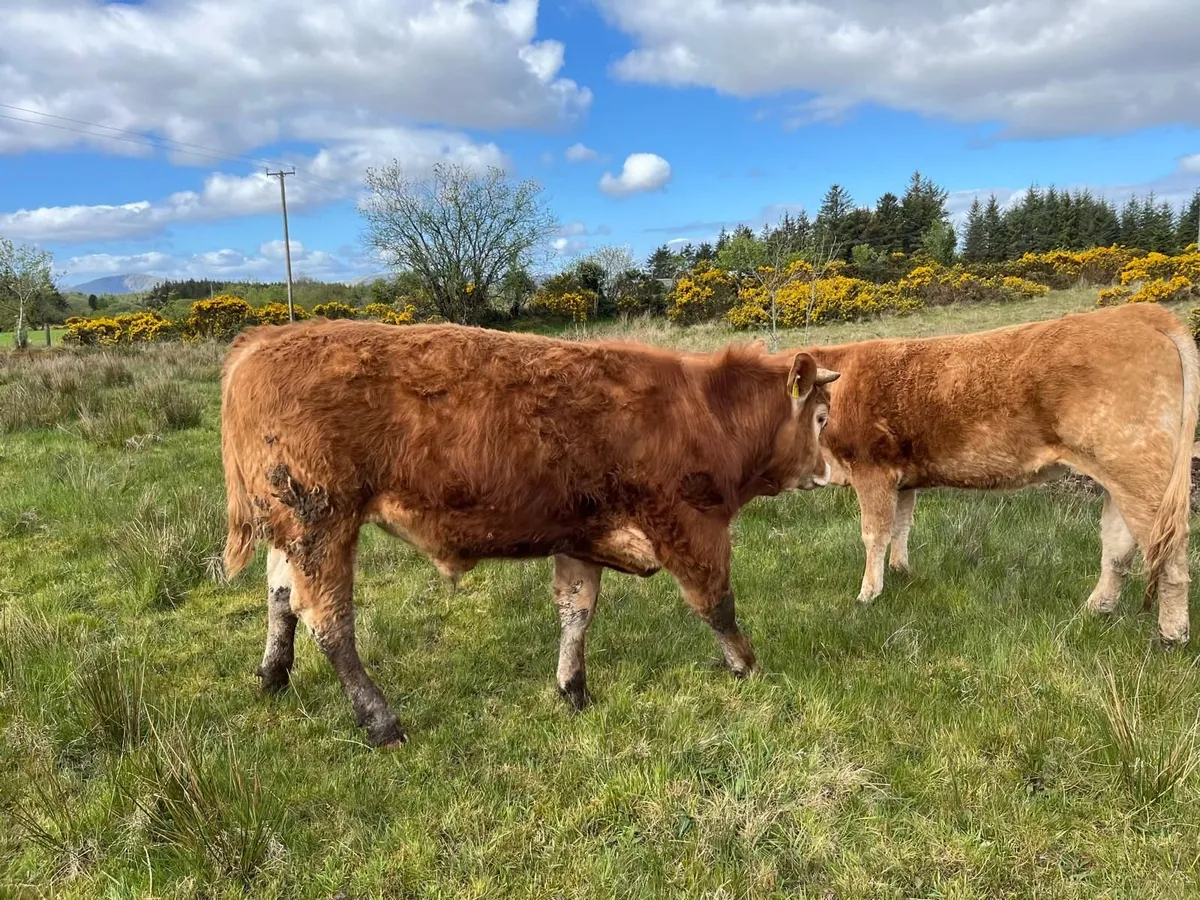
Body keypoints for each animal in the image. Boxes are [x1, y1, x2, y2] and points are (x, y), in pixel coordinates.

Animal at [220, 319, 839, 747]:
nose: (828, 472)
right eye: (821, 418)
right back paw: (380, 720)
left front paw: (574, 688)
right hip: (323, 523)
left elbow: (577, 612)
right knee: (328, 622)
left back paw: (272, 676)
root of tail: (262, 340)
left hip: (293, 530)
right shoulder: (690, 529)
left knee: (279, 597)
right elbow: (718, 605)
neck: (704, 413)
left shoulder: (581, 536)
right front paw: (745, 664)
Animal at [796, 303, 1199, 645]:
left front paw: (868, 594)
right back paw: (1094, 611)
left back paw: (1171, 636)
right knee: (1118, 550)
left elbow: (874, 533)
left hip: (1140, 476)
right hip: (1118, 480)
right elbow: (901, 526)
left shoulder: (871, 470)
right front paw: (901, 572)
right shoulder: (903, 478)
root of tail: (1139, 312)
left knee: (1170, 557)